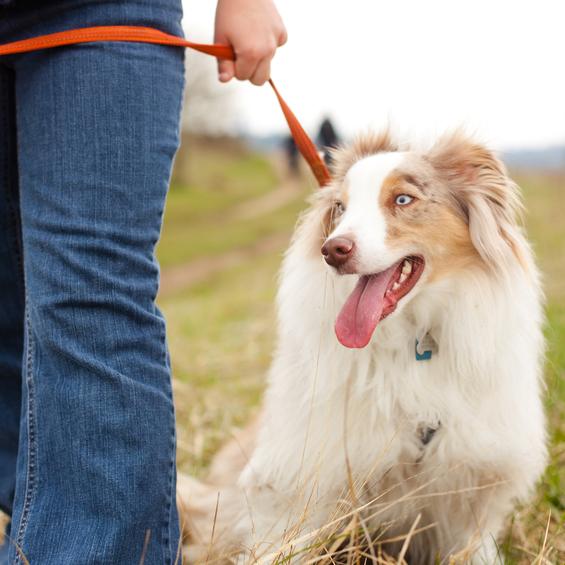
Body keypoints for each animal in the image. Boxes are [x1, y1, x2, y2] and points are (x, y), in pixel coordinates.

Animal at [177, 132, 548, 564]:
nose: (333, 250)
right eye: (340, 207)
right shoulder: (301, 474)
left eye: (402, 200)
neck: (411, 340)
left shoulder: (470, 484)